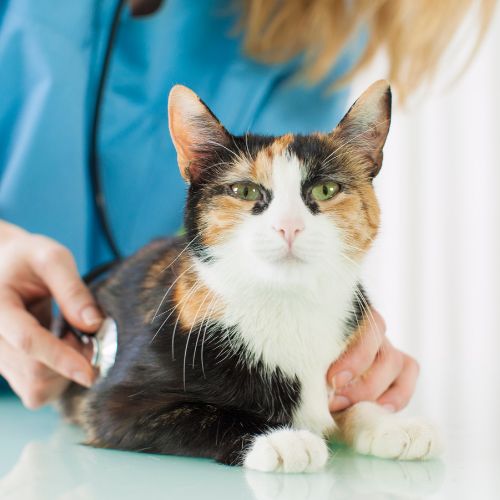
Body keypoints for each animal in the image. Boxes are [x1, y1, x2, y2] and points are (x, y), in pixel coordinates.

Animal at [60, 80, 440, 470]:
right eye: (244, 191)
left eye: (326, 189)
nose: (288, 226)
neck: (287, 306)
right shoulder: (114, 405)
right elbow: (209, 413)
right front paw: (282, 438)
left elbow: (352, 400)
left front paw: (389, 423)